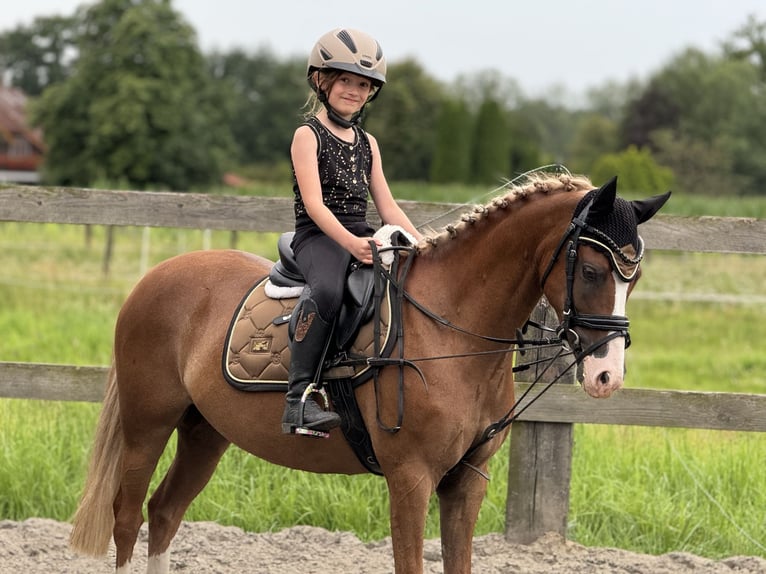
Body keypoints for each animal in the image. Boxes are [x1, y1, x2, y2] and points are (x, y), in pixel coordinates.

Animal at [72, 173, 672, 572]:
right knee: (127, 516)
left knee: (164, 513)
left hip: (205, 432)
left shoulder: (466, 482)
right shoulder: (410, 478)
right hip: (148, 424)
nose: (607, 377)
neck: (452, 330)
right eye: (591, 270)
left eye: (635, 276)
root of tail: (156, 276)